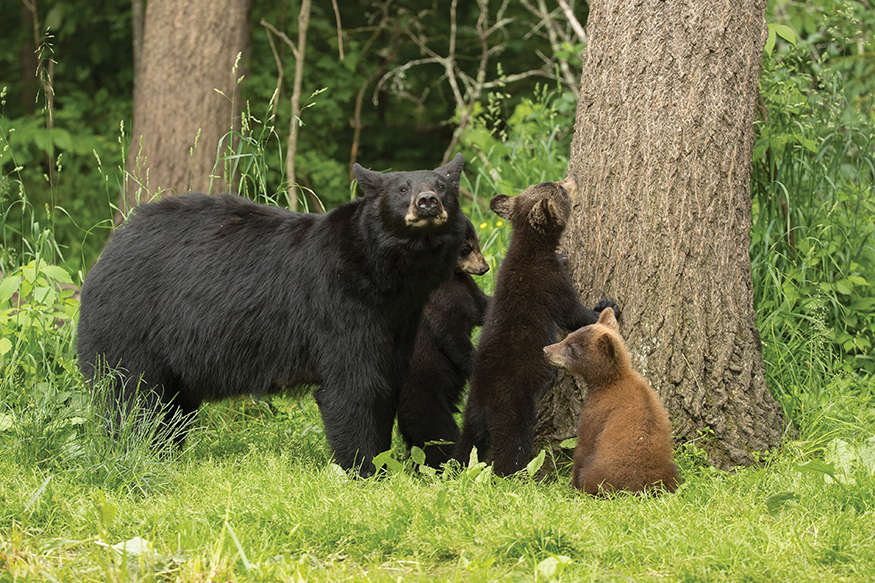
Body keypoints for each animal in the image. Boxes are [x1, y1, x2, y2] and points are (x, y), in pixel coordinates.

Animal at [78, 153, 468, 476]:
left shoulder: (396, 321)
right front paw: (365, 469)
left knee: (172, 408)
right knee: (133, 397)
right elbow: (353, 387)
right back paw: (136, 452)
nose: (427, 201)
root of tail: (108, 250)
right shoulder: (341, 306)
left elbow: (385, 383)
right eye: (402, 188)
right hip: (132, 324)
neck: (387, 274)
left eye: (442, 186)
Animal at [398, 219, 492, 470]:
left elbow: (484, 307)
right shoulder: (439, 304)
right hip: (424, 395)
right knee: (437, 434)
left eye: (477, 241)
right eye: (466, 248)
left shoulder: (466, 288)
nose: (485, 268)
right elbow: (453, 339)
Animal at [456, 176, 620, 476]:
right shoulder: (550, 283)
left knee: (465, 447)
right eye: (560, 188)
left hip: (470, 418)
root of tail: (483, 403)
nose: (572, 177)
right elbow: (572, 313)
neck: (530, 248)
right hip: (514, 410)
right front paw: (606, 307)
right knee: (511, 447)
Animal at [544, 310, 680, 498]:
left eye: (572, 348)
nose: (546, 350)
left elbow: (584, 445)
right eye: (568, 337)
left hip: (598, 470)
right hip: (670, 471)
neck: (613, 380)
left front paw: (572, 486)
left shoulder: (597, 410)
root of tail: (638, 490)